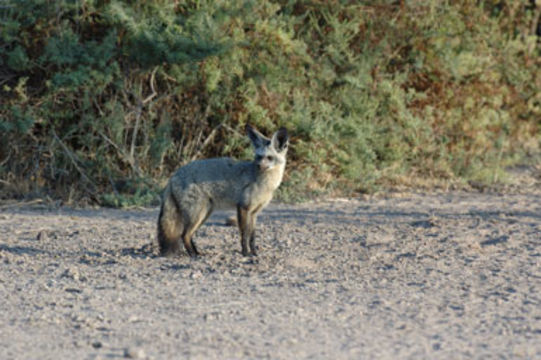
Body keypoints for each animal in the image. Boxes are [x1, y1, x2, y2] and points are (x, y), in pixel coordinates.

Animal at [156, 125, 288, 258]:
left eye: (269, 157)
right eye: (259, 157)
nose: (258, 166)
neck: (265, 183)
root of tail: (173, 176)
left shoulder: (254, 213)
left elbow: (252, 237)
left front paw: (254, 253)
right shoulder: (243, 207)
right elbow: (244, 235)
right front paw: (245, 253)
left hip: (204, 214)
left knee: (188, 235)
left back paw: (197, 252)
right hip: (198, 214)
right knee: (184, 235)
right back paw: (194, 255)